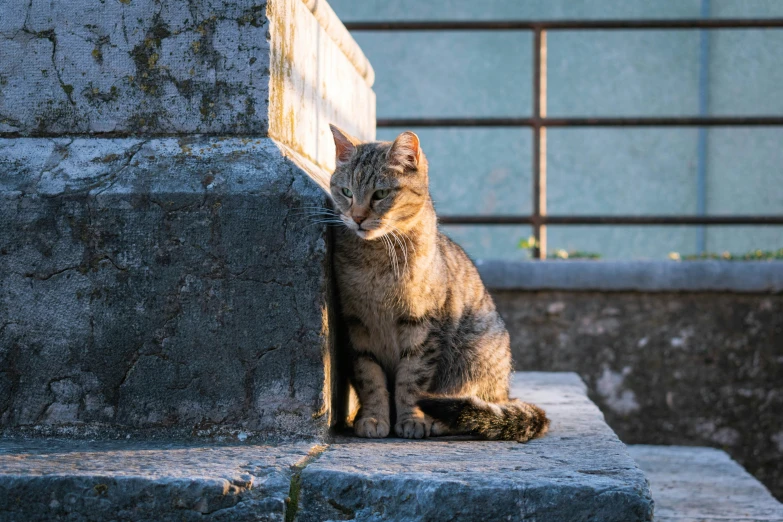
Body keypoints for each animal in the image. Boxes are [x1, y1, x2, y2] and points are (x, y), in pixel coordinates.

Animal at [328, 125, 548, 438]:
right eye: (346, 192)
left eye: (380, 194)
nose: (357, 217)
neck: (377, 260)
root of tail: (507, 394)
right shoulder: (356, 327)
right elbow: (369, 378)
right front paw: (372, 417)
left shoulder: (422, 326)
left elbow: (412, 379)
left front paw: (412, 418)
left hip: (473, 357)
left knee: (472, 410)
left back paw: (437, 420)